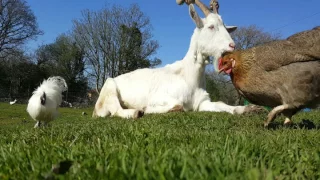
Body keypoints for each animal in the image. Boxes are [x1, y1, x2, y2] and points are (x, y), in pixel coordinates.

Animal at [92, 0, 258, 119]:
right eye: (211, 26)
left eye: (225, 27)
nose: (232, 45)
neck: (189, 77)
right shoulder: (159, 97)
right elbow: (178, 105)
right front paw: (146, 109)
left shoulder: (202, 103)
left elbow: (221, 104)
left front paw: (248, 108)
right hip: (109, 88)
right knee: (114, 110)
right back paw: (134, 112)